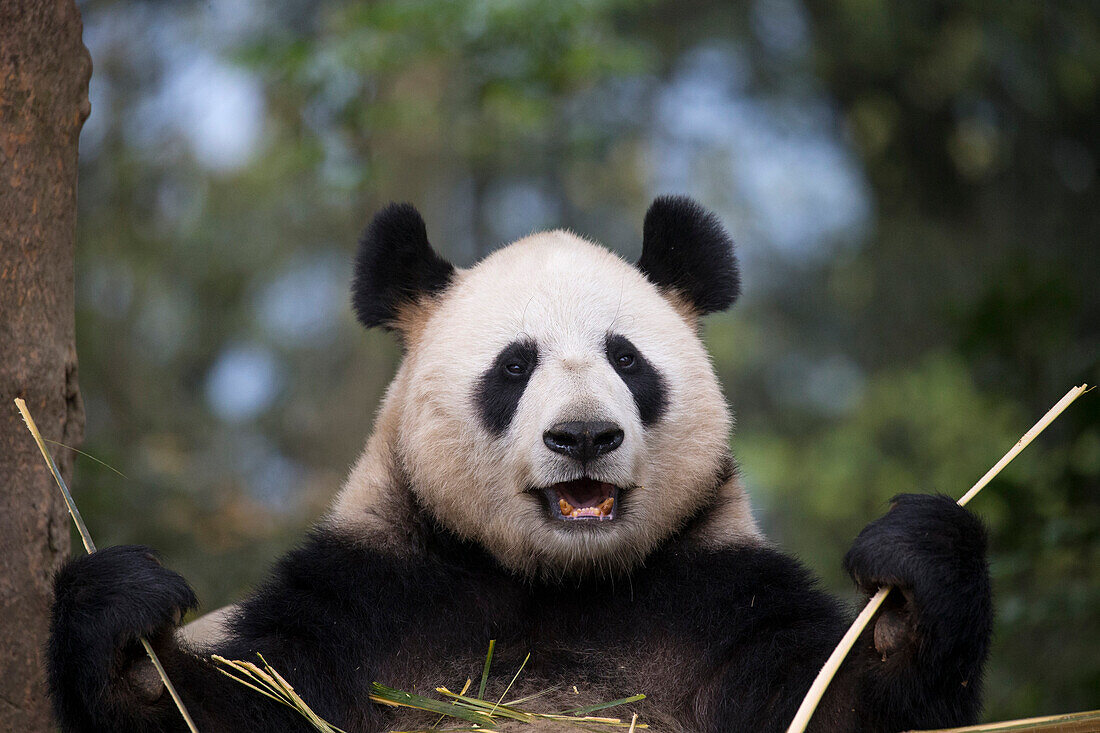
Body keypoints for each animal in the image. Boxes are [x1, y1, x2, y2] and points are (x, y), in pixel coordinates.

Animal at [47, 195, 994, 730]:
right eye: (513, 366)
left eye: (627, 360)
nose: (583, 437)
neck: (552, 582)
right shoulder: (371, 597)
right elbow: (244, 701)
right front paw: (129, 622)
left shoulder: (710, 595)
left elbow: (837, 702)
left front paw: (912, 564)